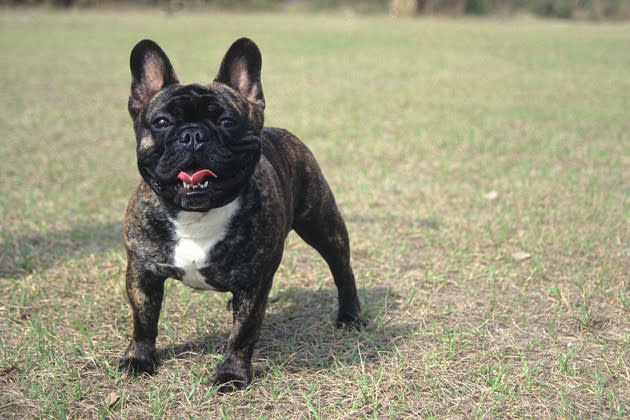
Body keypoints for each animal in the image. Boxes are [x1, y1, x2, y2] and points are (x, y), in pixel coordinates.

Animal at [116, 37, 368, 388]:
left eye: (226, 122)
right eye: (162, 123)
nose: (193, 134)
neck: (198, 215)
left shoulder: (254, 284)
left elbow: (243, 331)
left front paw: (231, 373)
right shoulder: (142, 273)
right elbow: (143, 320)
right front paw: (139, 358)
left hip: (322, 224)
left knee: (342, 270)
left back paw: (350, 315)